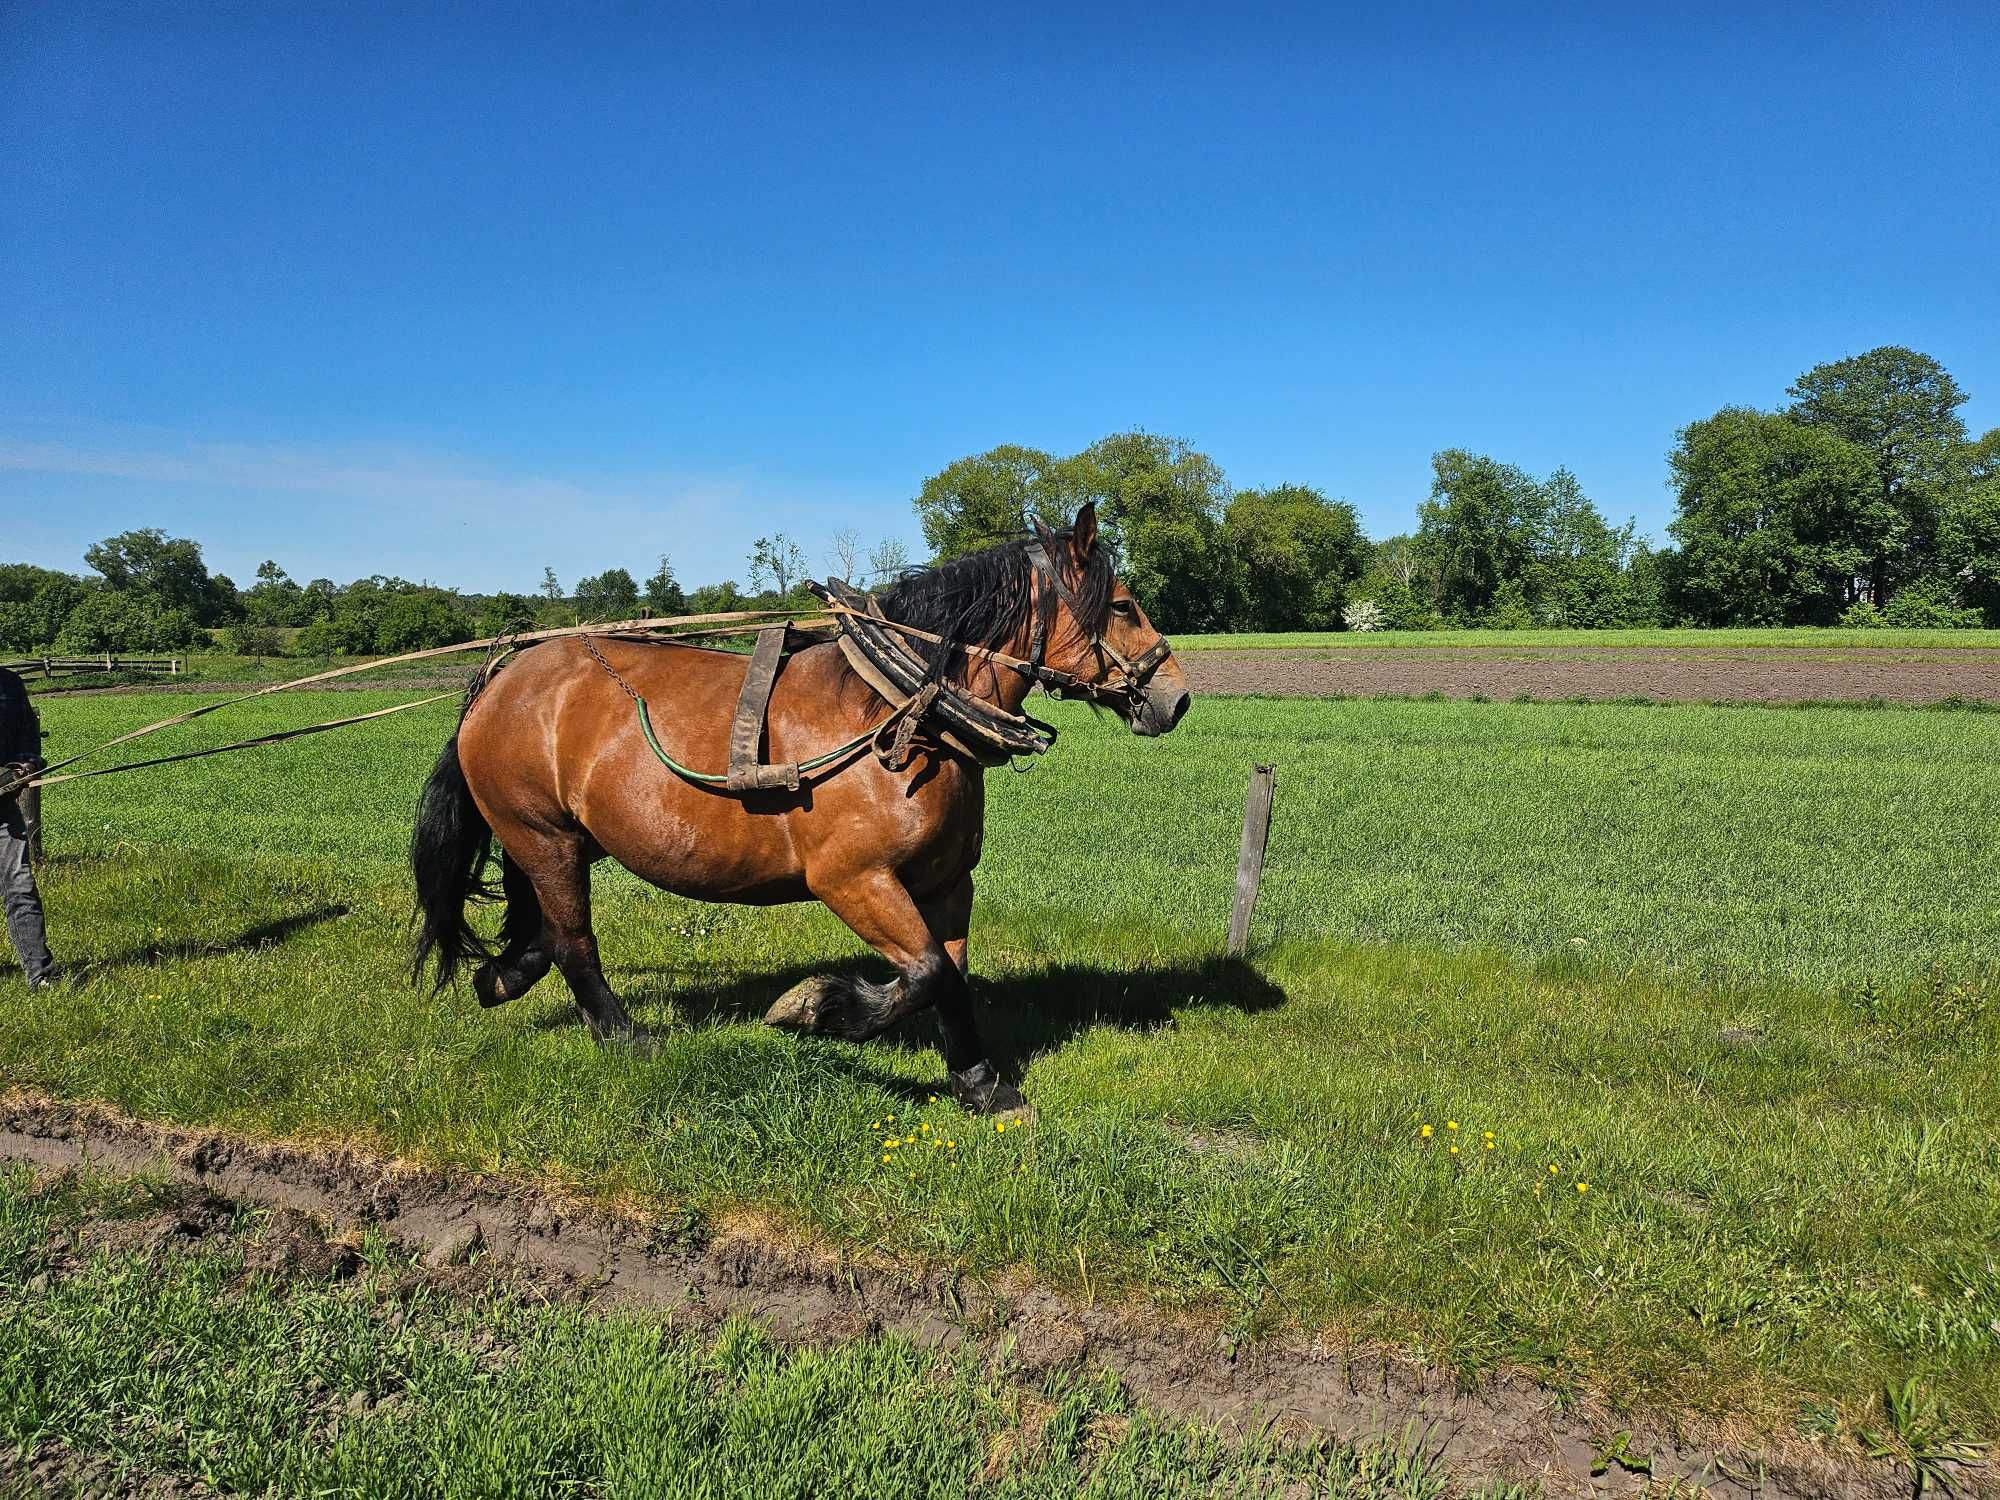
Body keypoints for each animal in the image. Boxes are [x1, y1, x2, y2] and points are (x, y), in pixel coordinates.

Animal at [408, 508, 1184, 1120]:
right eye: (1121, 605)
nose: (1175, 697)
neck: (902, 717)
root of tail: (497, 678)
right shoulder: (853, 879)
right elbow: (926, 972)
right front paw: (818, 1007)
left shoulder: (946, 882)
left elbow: (952, 978)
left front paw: (981, 1084)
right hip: (543, 837)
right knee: (573, 943)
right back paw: (625, 1036)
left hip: (560, 839)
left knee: (539, 927)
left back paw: (502, 978)